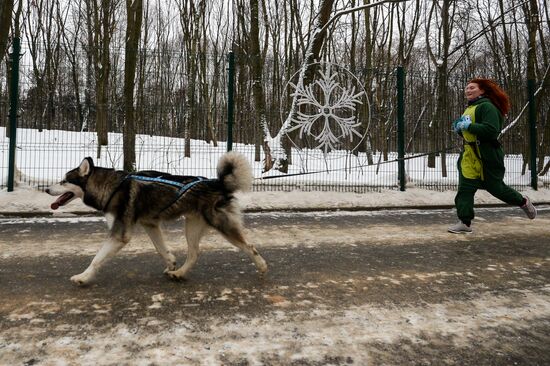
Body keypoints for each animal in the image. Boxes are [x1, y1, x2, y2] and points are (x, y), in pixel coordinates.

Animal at [48, 152, 268, 286]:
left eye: (64, 181)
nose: (46, 189)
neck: (112, 187)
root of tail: (217, 183)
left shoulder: (120, 234)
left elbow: (97, 259)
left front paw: (83, 277)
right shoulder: (150, 224)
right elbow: (161, 248)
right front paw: (171, 263)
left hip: (222, 225)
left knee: (250, 246)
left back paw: (262, 266)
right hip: (192, 227)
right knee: (194, 253)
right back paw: (179, 273)